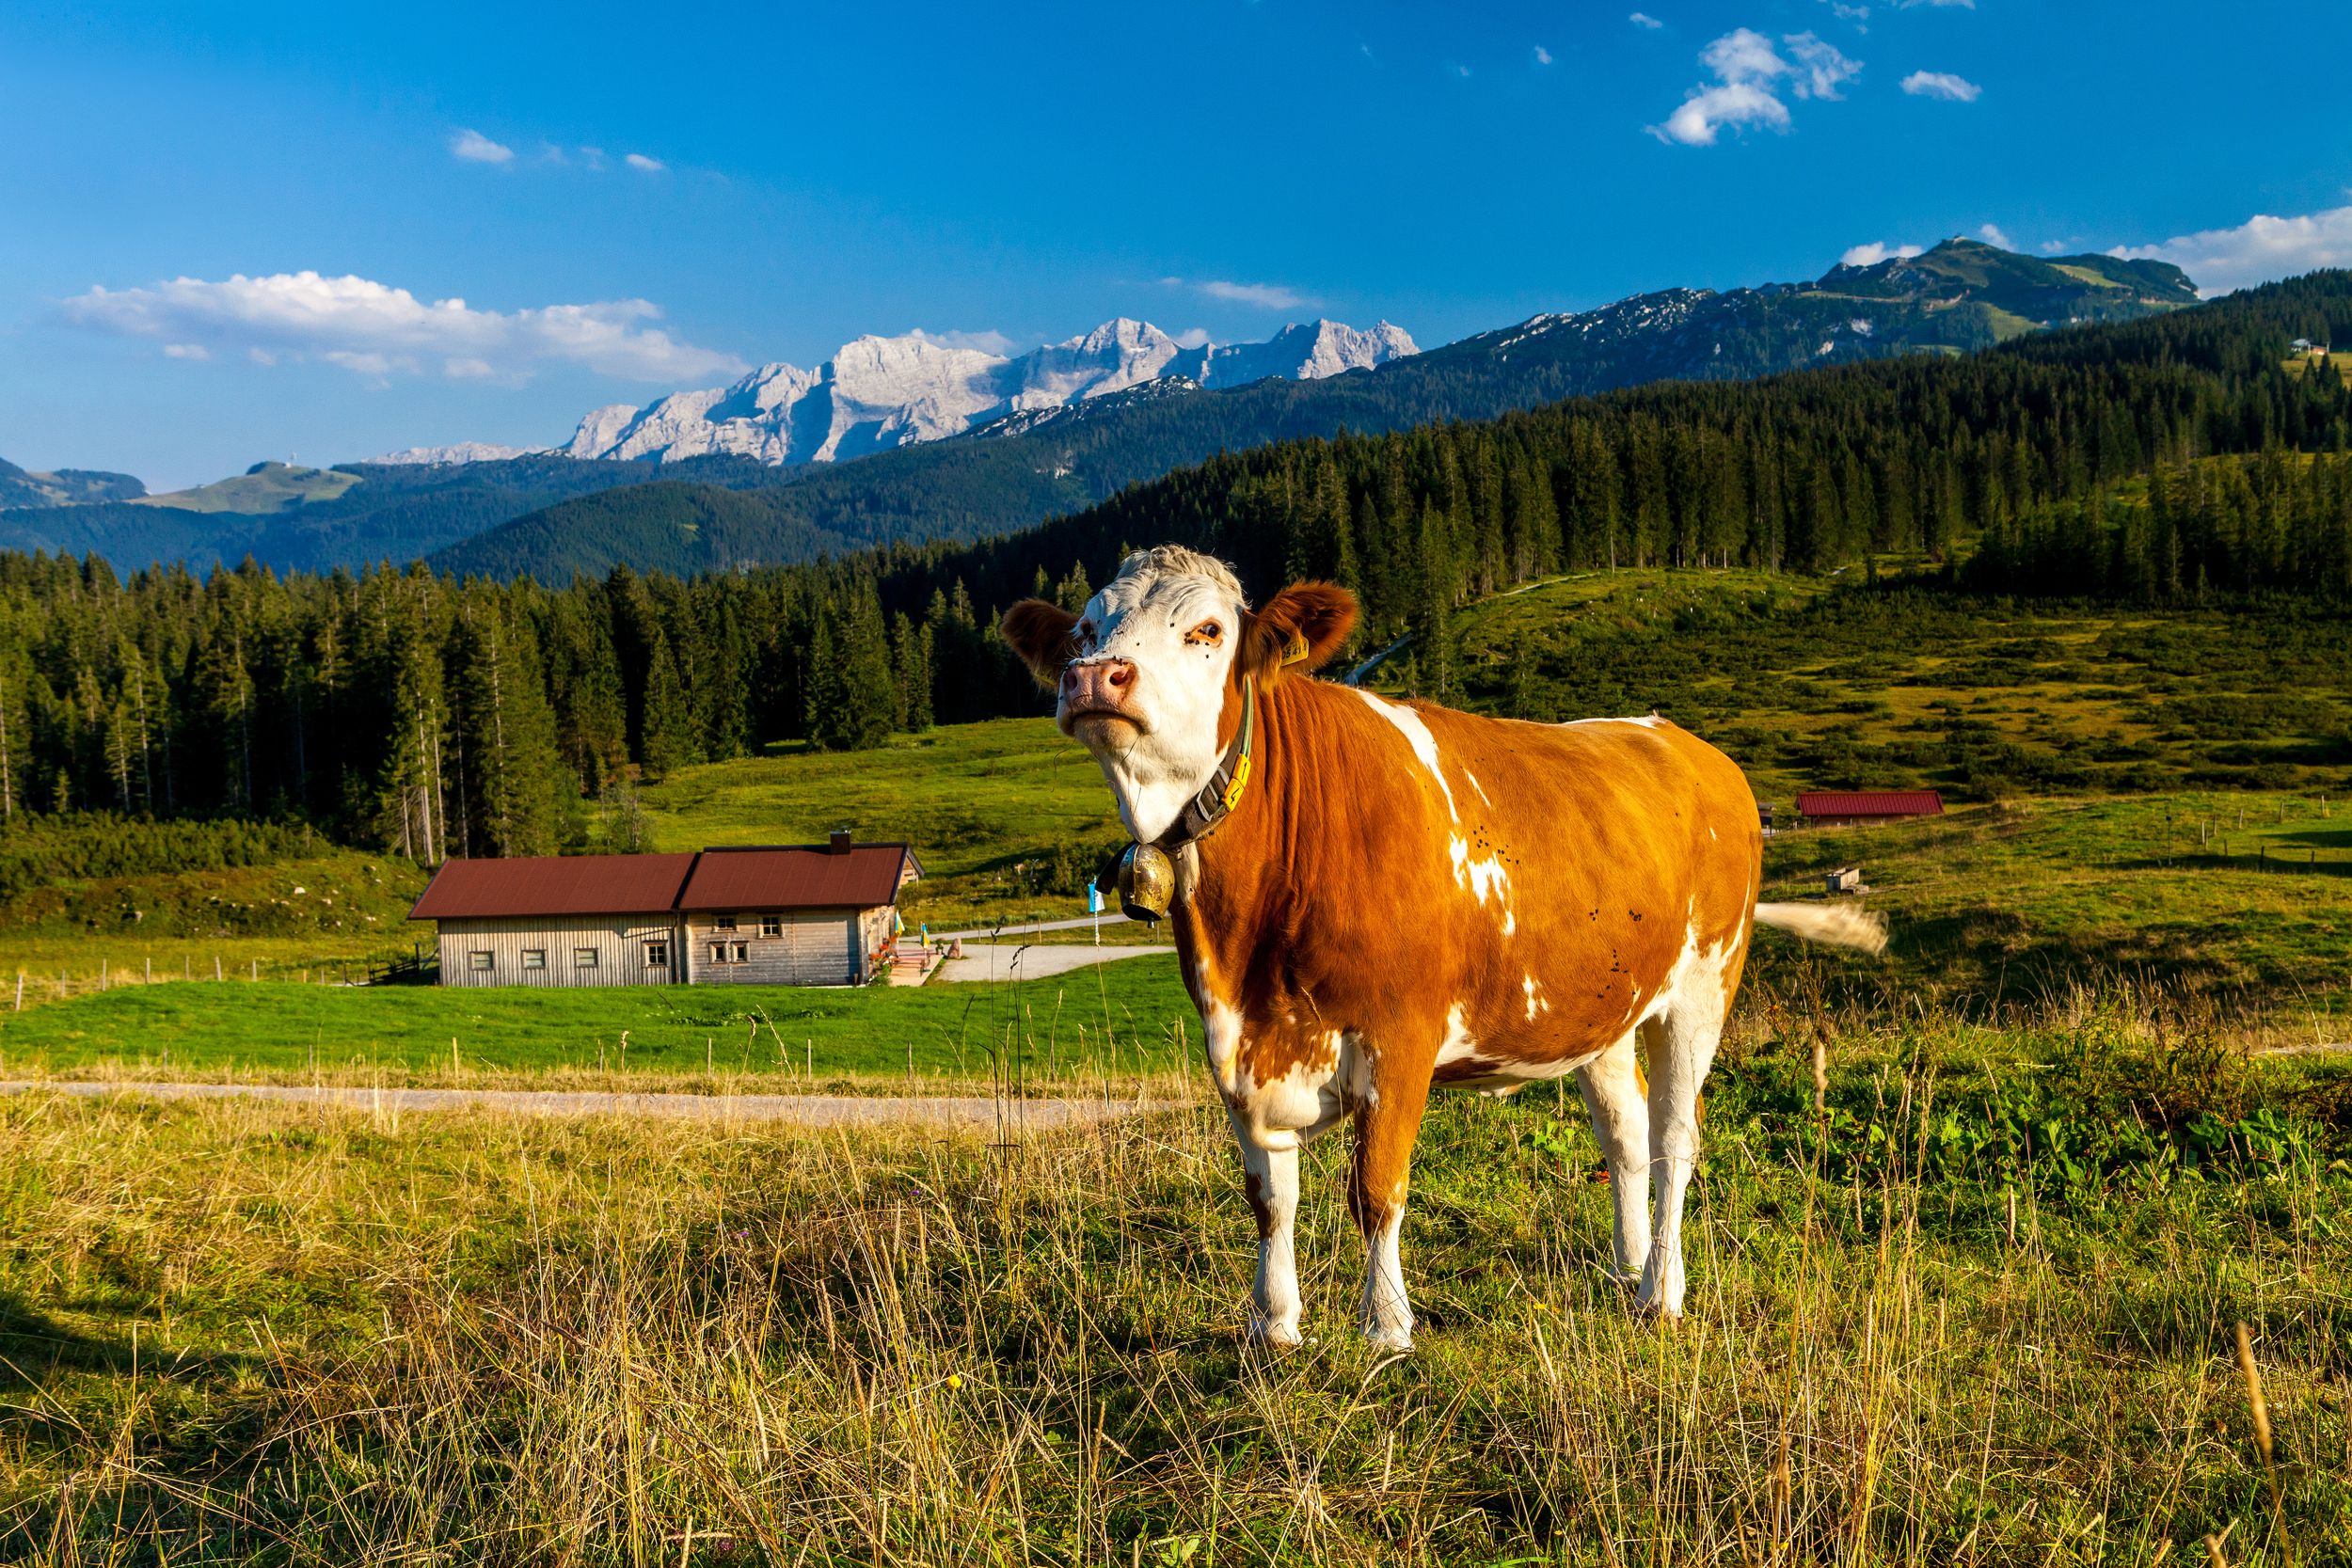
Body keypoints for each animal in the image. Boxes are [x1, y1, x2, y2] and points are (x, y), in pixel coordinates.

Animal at [1001, 546, 1884, 1349]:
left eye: (1207, 629)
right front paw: (1273, 1324)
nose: (1094, 678)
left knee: (1675, 1140)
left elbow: (1377, 1187)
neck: (1248, 945)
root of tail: (1681, 739)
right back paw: (1626, 1268)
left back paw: (1661, 1292)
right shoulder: (1236, 1043)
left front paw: (1386, 1328)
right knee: (1627, 1132)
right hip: (1602, 1001)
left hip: (1702, 983)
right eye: (1086, 627)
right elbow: (1269, 1195)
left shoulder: (1400, 1032)